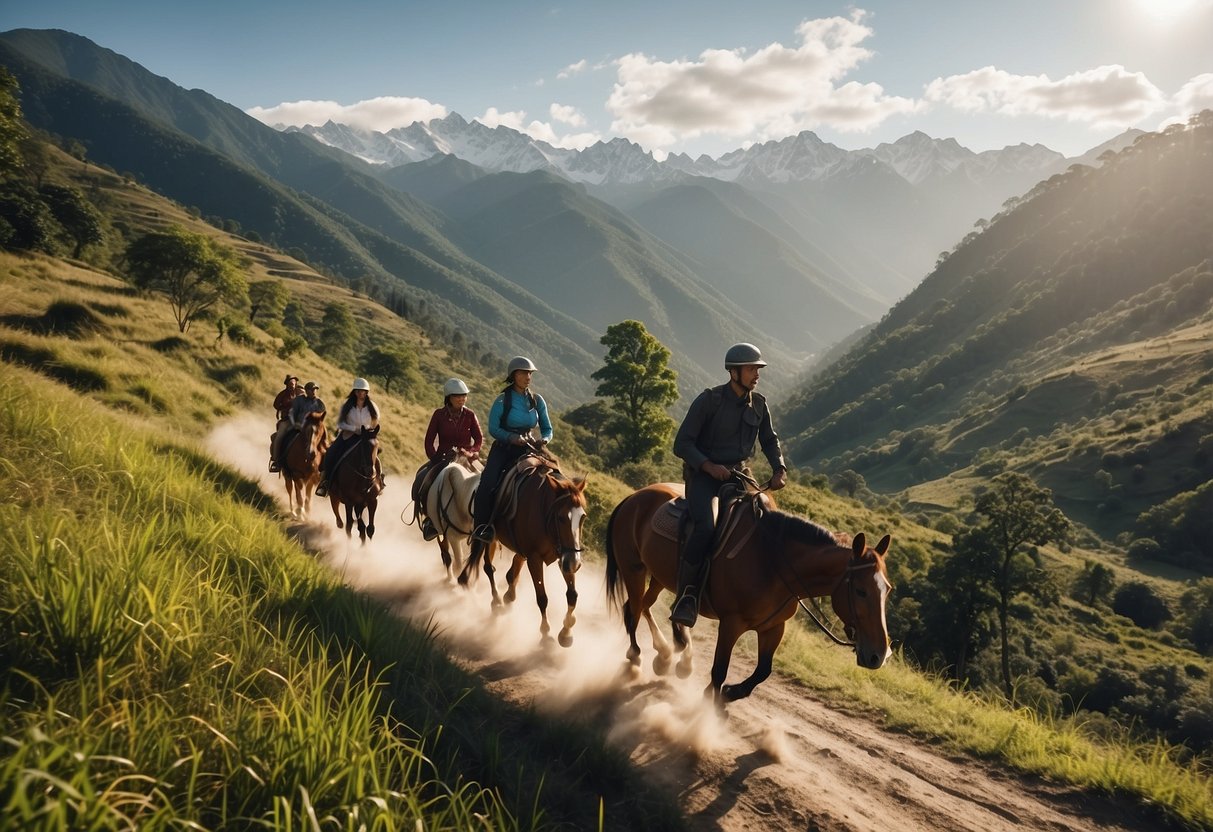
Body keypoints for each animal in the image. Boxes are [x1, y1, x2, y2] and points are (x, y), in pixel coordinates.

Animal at [456, 448, 587, 650]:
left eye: (582, 518)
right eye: (561, 517)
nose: (575, 563)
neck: (544, 508)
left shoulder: (564, 555)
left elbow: (572, 595)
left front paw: (566, 633)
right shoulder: (535, 558)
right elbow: (542, 598)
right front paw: (546, 634)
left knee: (512, 570)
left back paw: (507, 597)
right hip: (489, 536)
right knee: (488, 567)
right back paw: (497, 601)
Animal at [604, 482, 892, 708]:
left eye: (886, 590)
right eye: (861, 591)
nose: (879, 655)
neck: (774, 563)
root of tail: (634, 497)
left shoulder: (774, 627)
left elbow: (763, 670)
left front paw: (730, 694)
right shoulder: (732, 623)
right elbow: (719, 670)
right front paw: (710, 709)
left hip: (661, 578)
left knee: (650, 606)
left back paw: (668, 654)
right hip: (634, 569)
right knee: (634, 609)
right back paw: (638, 655)